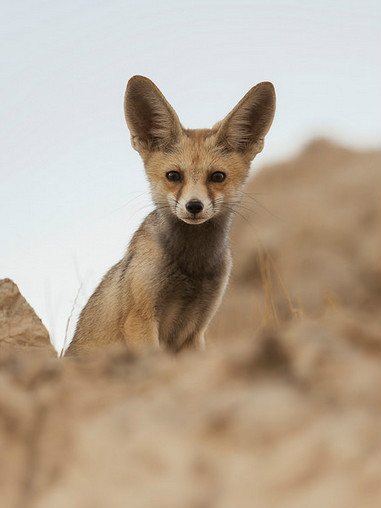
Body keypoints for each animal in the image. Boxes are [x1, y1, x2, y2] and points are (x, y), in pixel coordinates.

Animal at [65, 75, 274, 356]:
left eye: (217, 176)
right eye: (173, 176)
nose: (194, 206)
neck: (192, 267)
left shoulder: (197, 328)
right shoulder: (140, 318)